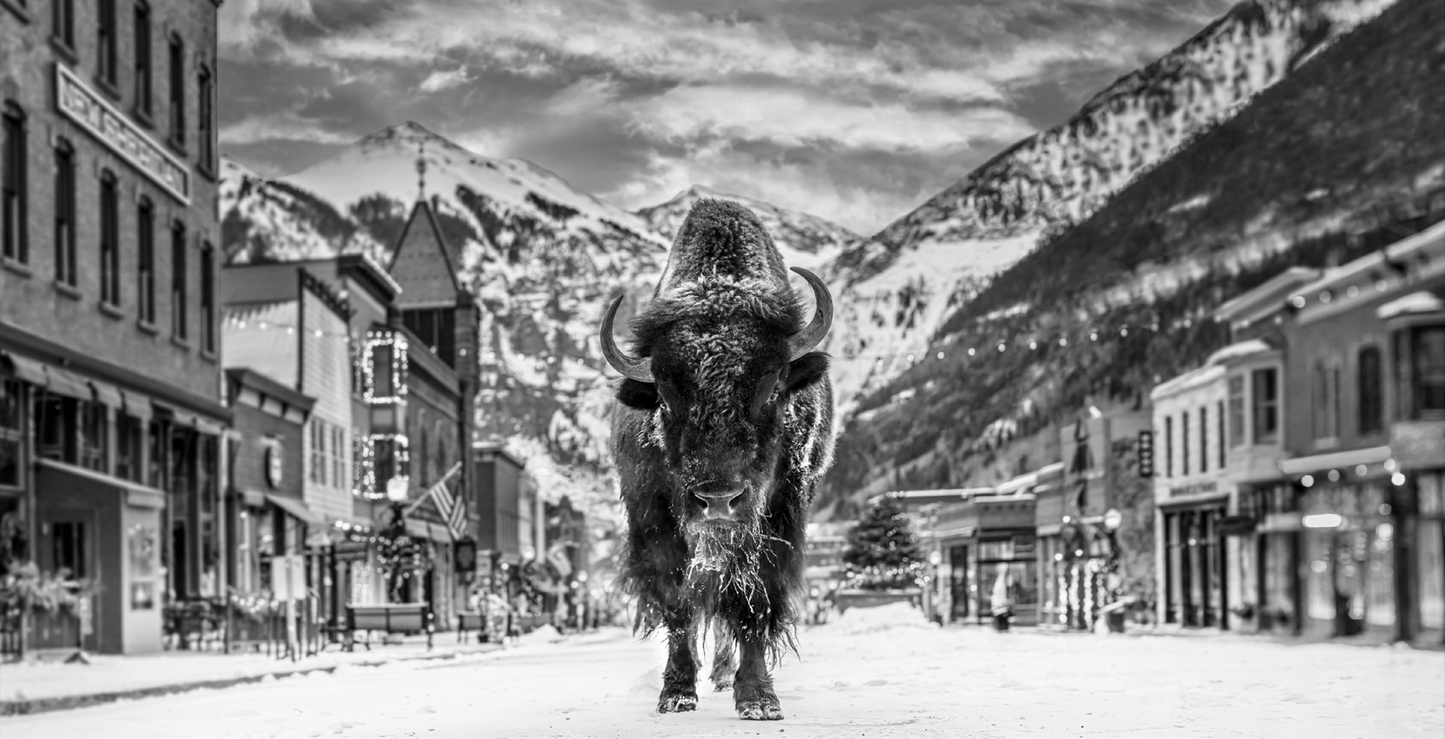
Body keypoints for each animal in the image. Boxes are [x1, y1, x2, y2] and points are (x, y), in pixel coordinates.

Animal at [602, 199, 835, 720]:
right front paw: (676, 693)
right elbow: (678, 603)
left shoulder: (777, 518)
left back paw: (728, 675)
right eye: (666, 396)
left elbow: (752, 603)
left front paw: (758, 699)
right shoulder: (654, 519)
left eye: (773, 386)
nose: (718, 500)